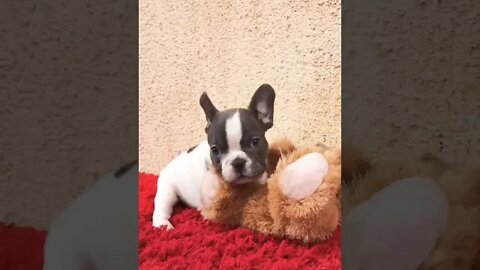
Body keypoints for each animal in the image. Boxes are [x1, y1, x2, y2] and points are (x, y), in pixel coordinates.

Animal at [152, 83, 276, 229]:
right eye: (215, 150)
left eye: (255, 142)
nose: (238, 162)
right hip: (167, 189)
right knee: (162, 206)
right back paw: (163, 225)